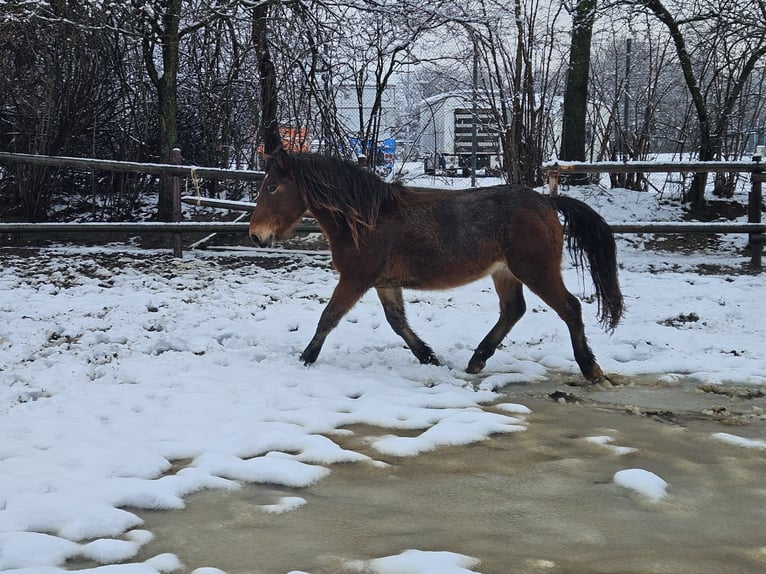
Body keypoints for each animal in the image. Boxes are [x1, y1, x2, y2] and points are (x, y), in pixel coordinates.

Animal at [252, 146, 624, 384]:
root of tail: (547, 202)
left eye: (272, 186)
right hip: (505, 272)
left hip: (536, 271)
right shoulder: (384, 283)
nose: (256, 235)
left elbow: (328, 317)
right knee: (513, 310)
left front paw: (306, 358)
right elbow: (397, 322)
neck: (365, 219)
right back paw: (477, 360)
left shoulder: (356, 279)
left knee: (570, 308)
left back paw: (591, 369)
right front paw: (429, 358)